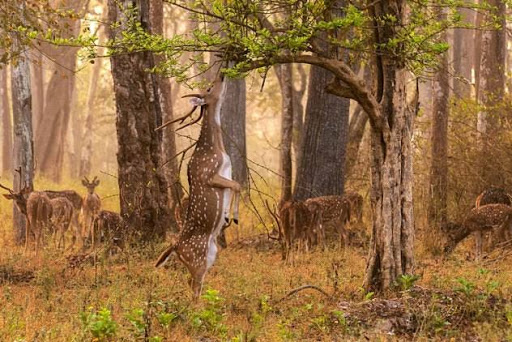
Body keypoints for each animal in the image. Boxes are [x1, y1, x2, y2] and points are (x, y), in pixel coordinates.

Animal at [154, 78, 242, 300]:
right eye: (209, 88)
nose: (222, 76)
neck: (217, 149)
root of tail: (175, 246)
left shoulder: (227, 172)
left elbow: (235, 186)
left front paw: (227, 216)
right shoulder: (209, 175)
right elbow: (238, 185)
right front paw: (234, 217)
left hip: (210, 255)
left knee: (191, 283)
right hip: (197, 258)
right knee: (194, 287)